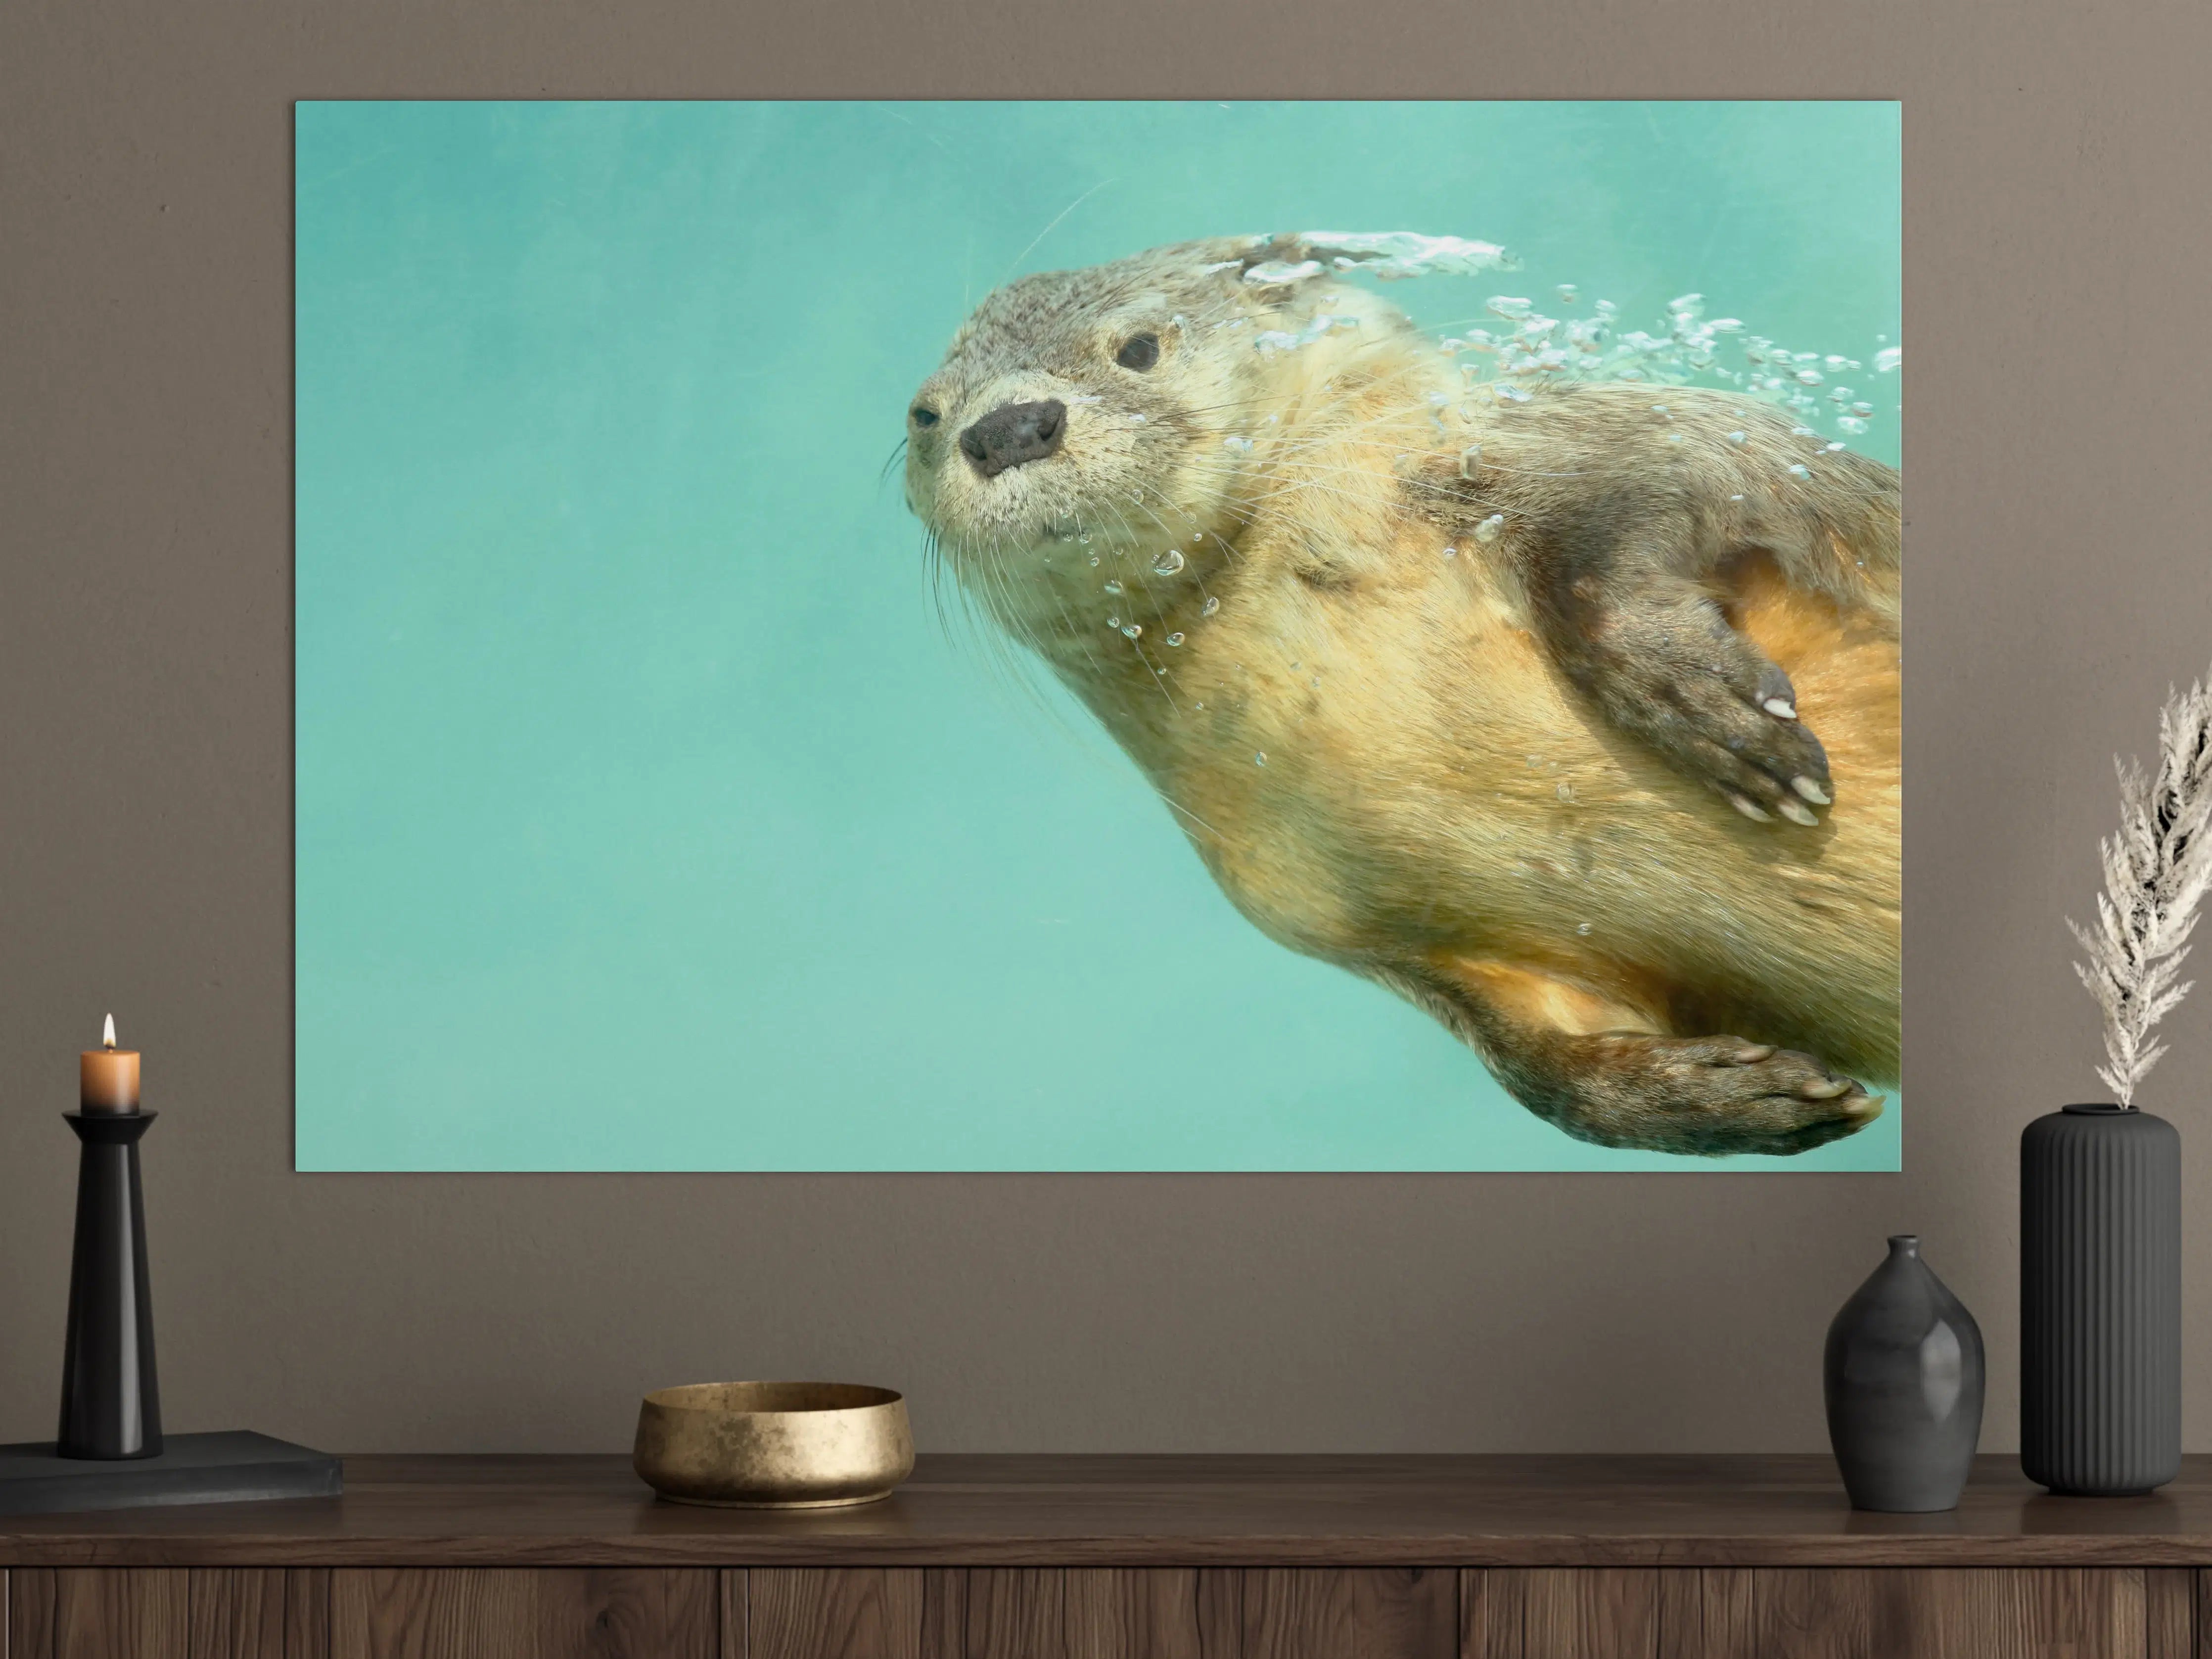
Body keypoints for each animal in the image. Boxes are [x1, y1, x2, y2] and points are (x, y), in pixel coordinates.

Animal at [904, 233, 1899, 1157]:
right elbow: (1547, 1077)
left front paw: (1709, 710)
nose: (1008, 428)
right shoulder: (1371, 931)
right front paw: (1726, 1096)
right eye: (924, 413)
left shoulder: (1605, 437)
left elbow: (1661, 484)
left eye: (1140, 347)